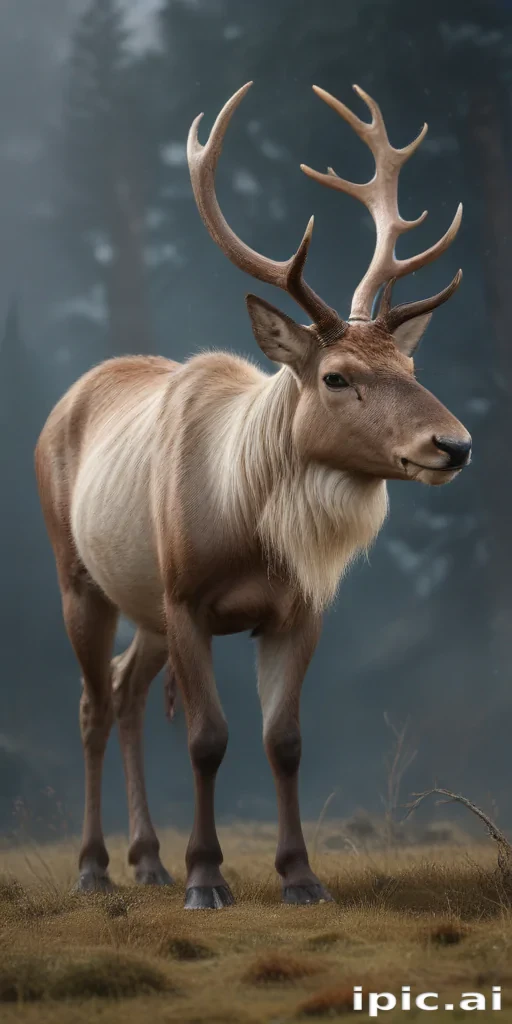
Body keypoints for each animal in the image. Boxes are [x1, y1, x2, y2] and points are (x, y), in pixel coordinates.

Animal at [35, 82, 472, 909]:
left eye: (410, 364)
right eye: (336, 376)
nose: (454, 443)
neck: (249, 530)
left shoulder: (297, 609)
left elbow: (285, 741)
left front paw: (300, 876)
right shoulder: (185, 599)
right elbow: (208, 739)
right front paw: (207, 879)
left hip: (142, 604)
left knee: (128, 692)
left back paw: (147, 859)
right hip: (81, 577)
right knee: (91, 706)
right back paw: (94, 867)